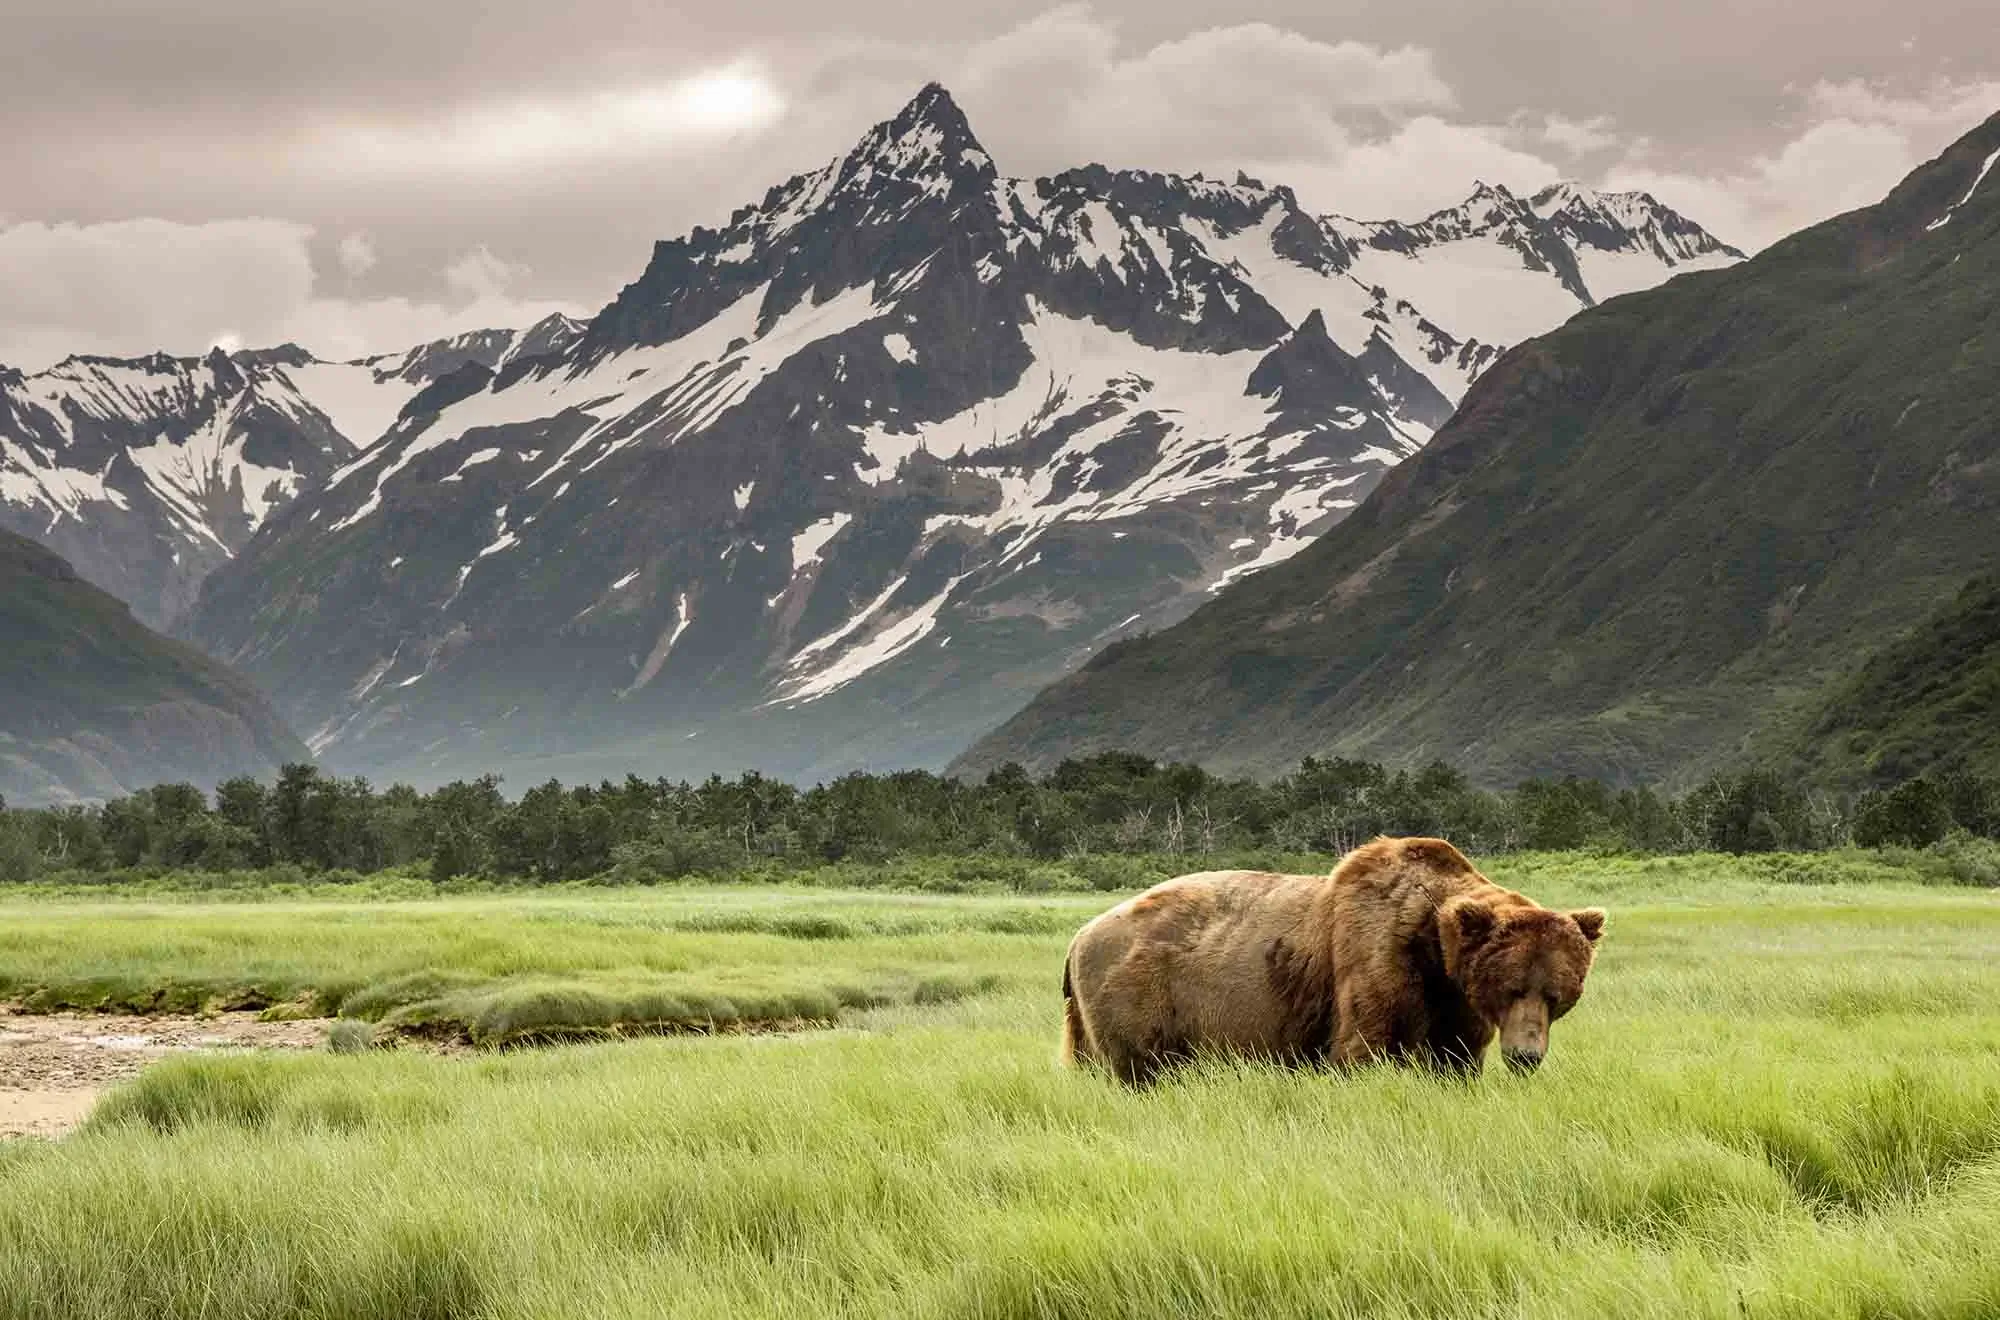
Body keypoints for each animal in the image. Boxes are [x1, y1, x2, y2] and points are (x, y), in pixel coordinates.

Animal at [1060, 836, 1604, 1084]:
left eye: (1557, 995)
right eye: (1512, 988)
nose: (1526, 1056)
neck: (1434, 950)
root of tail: (1080, 934)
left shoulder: (1454, 1002)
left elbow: (1455, 1056)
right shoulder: (1374, 957)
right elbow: (1362, 1047)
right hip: (1141, 991)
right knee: (1139, 1068)